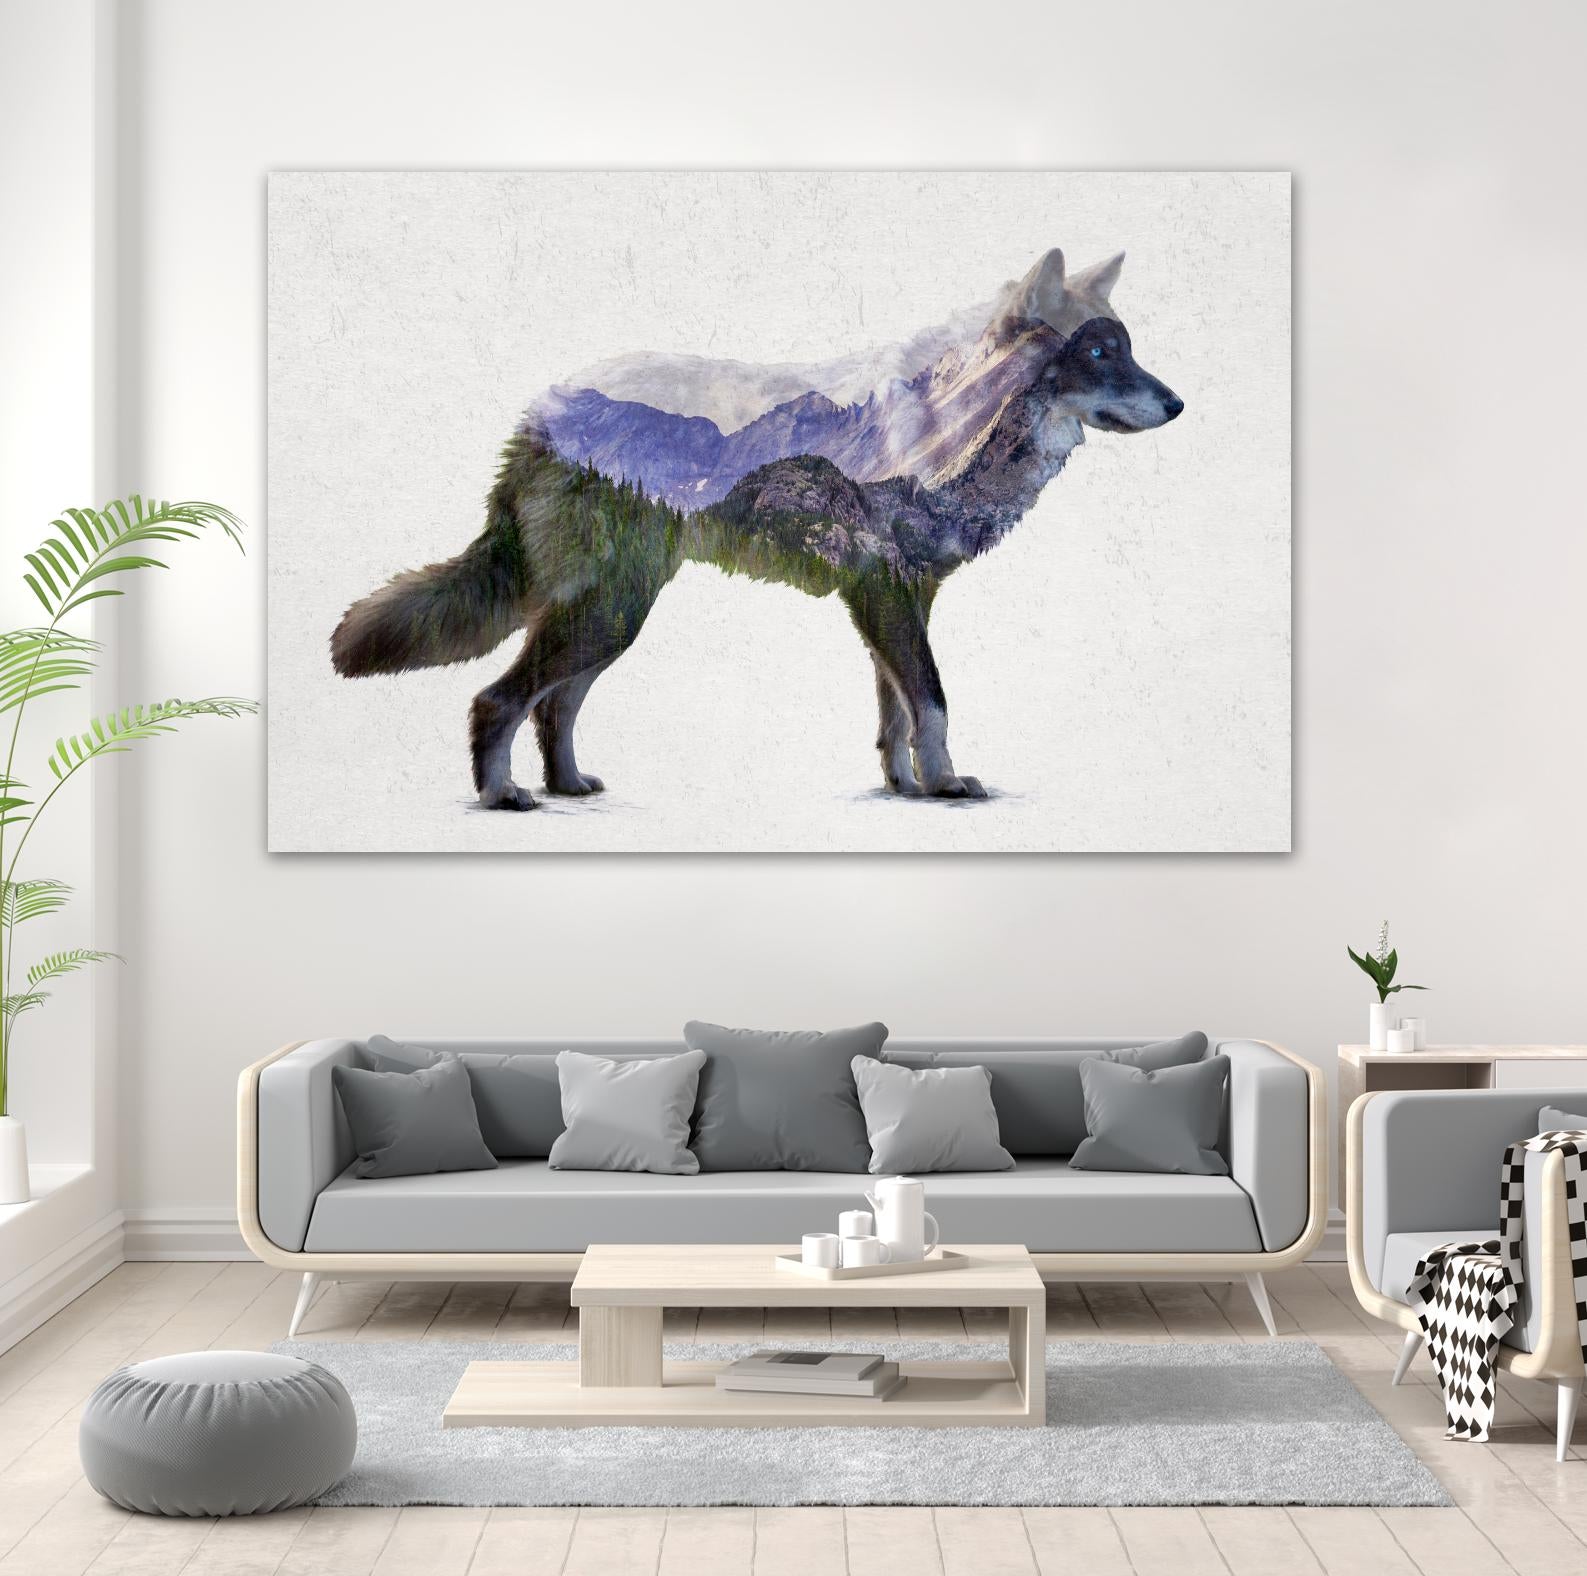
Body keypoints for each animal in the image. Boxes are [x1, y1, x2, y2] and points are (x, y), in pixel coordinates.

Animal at [330, 248, 1183, 809]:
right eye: (1098, 350)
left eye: (1126, 347)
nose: (1178, 404)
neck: (950, 428)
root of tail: (540, 413)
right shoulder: (886, 597)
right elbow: (933, 703)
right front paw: (944, 786)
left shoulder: (894, 603)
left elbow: (897, 715)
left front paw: (906, 787)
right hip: (609, 613)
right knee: (497, 700)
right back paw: (505, 797)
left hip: (615, 615)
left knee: (551, 706)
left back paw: (567, 786)